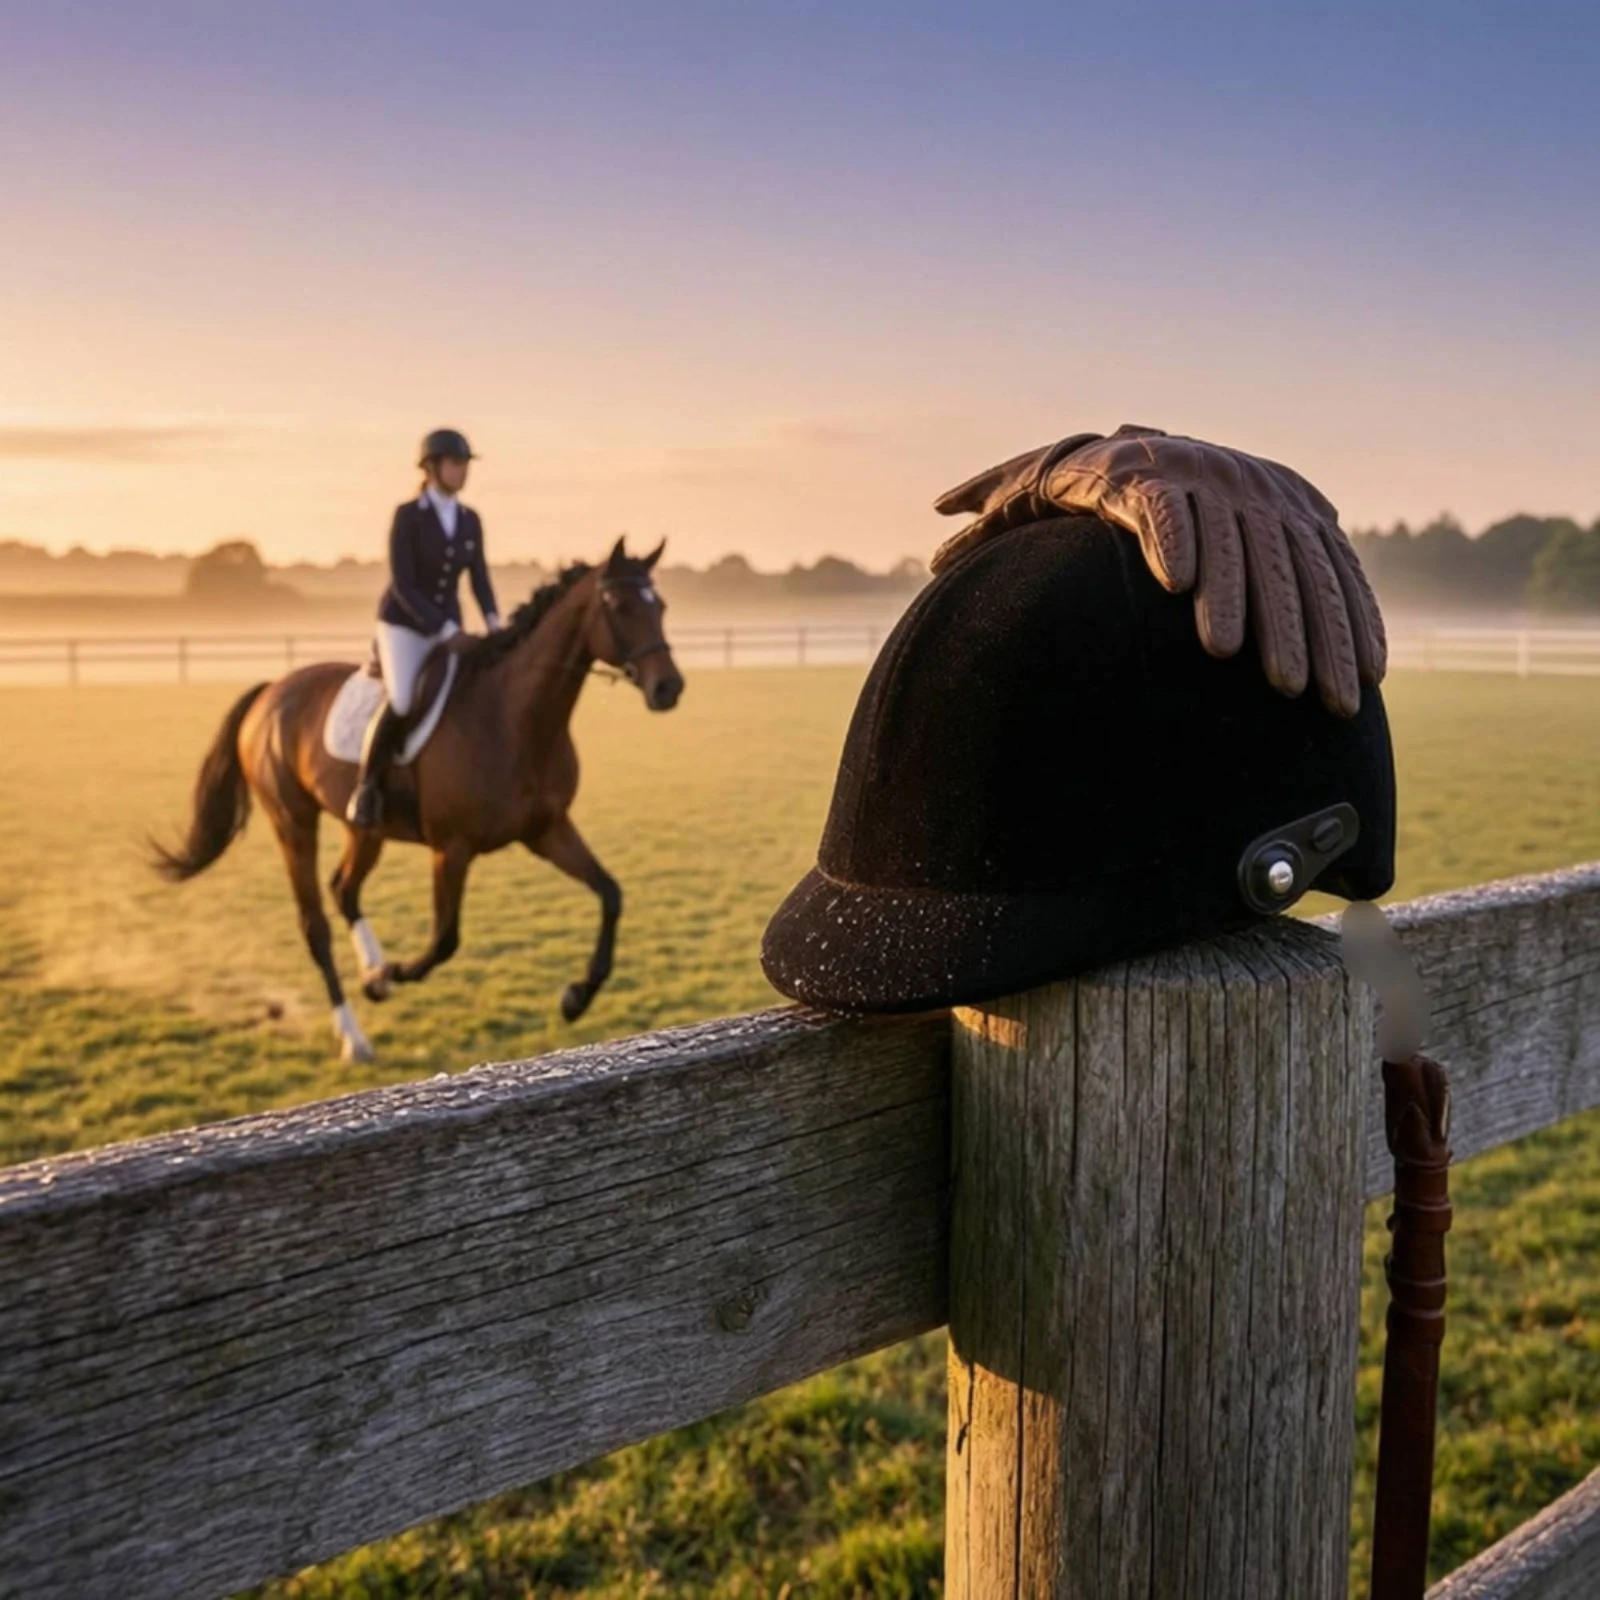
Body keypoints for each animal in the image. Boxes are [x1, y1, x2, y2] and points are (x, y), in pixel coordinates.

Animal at [152, 538, 685, 1062]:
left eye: (660, 606)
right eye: (619, 605)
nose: (669, 687)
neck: (514, 718)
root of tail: (270, 693)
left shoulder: (546, 830)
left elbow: (611, 893)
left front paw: (577, 996)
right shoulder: (451, 848)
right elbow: (444, 939)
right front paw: (392, 974)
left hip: (364, 827)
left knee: (344, 888)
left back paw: (372, 972)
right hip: (293, 822)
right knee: (315, 924)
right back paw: (355, 1034)